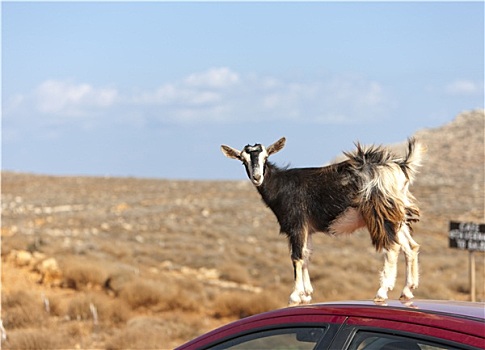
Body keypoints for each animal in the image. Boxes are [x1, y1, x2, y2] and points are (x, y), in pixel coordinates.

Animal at [221, 137, 426, 306]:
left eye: (265, 157)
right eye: (243, 159)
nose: (257, 177)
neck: (280, 186)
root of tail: (401, 166)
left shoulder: (297, 224)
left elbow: (296, 257)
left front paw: (295, 296)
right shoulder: (308, 229)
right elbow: (306, 256)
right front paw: (306, 294)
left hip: (379, 213)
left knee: (392, 247)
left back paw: (382, 292)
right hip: (397, 215)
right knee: (411, 246)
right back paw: (407, 291)